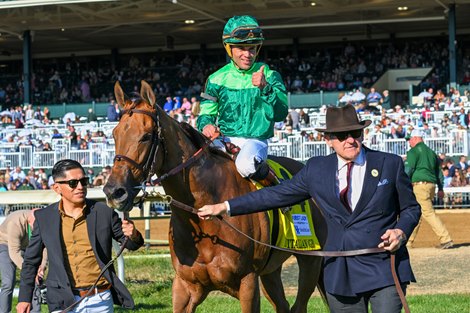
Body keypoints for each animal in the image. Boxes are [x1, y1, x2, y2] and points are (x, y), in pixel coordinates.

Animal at [103, 81, 326, 312]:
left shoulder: (248, 283)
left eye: (146, 136)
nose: (114, 191)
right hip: (271, 270)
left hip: (311, 259)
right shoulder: (185, 285)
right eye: (114, 134)